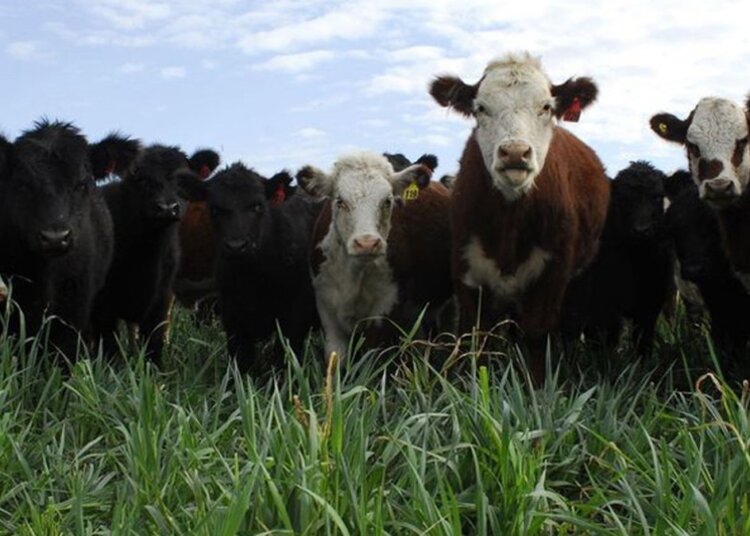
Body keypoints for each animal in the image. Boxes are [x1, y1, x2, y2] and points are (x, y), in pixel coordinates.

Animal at [91, 143, 220, 364]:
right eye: (141, 178)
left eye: (183, 180)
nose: (167, 208)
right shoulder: (102, 307)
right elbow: (110, 350)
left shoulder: (160, 300)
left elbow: (154, 343)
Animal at [179, 163, 322, 374]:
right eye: (214, 209)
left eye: (257, 205)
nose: (236, 245)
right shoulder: (233, 317)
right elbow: (241, 364)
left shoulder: (294, 315)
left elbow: (283, 360)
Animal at [296, 152, 452, 362]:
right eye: (340, 201)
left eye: (387, 201)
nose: (367, 243)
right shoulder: (326, 308)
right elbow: (336, 359)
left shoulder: (385, 311)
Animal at [429, 52, 610, 383]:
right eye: (480, 108)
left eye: (546, 107)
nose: (515, 153)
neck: (508, 223)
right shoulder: (465, 268)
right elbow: (474, 336)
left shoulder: (554, 271)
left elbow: (537, 334)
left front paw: (535, 386)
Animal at [561, 161, 674, 355]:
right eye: (623, 199)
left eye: (658, 197)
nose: (641, 230)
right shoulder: (605, 305)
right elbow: (607, 340)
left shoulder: (650, 304)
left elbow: (643, 341)